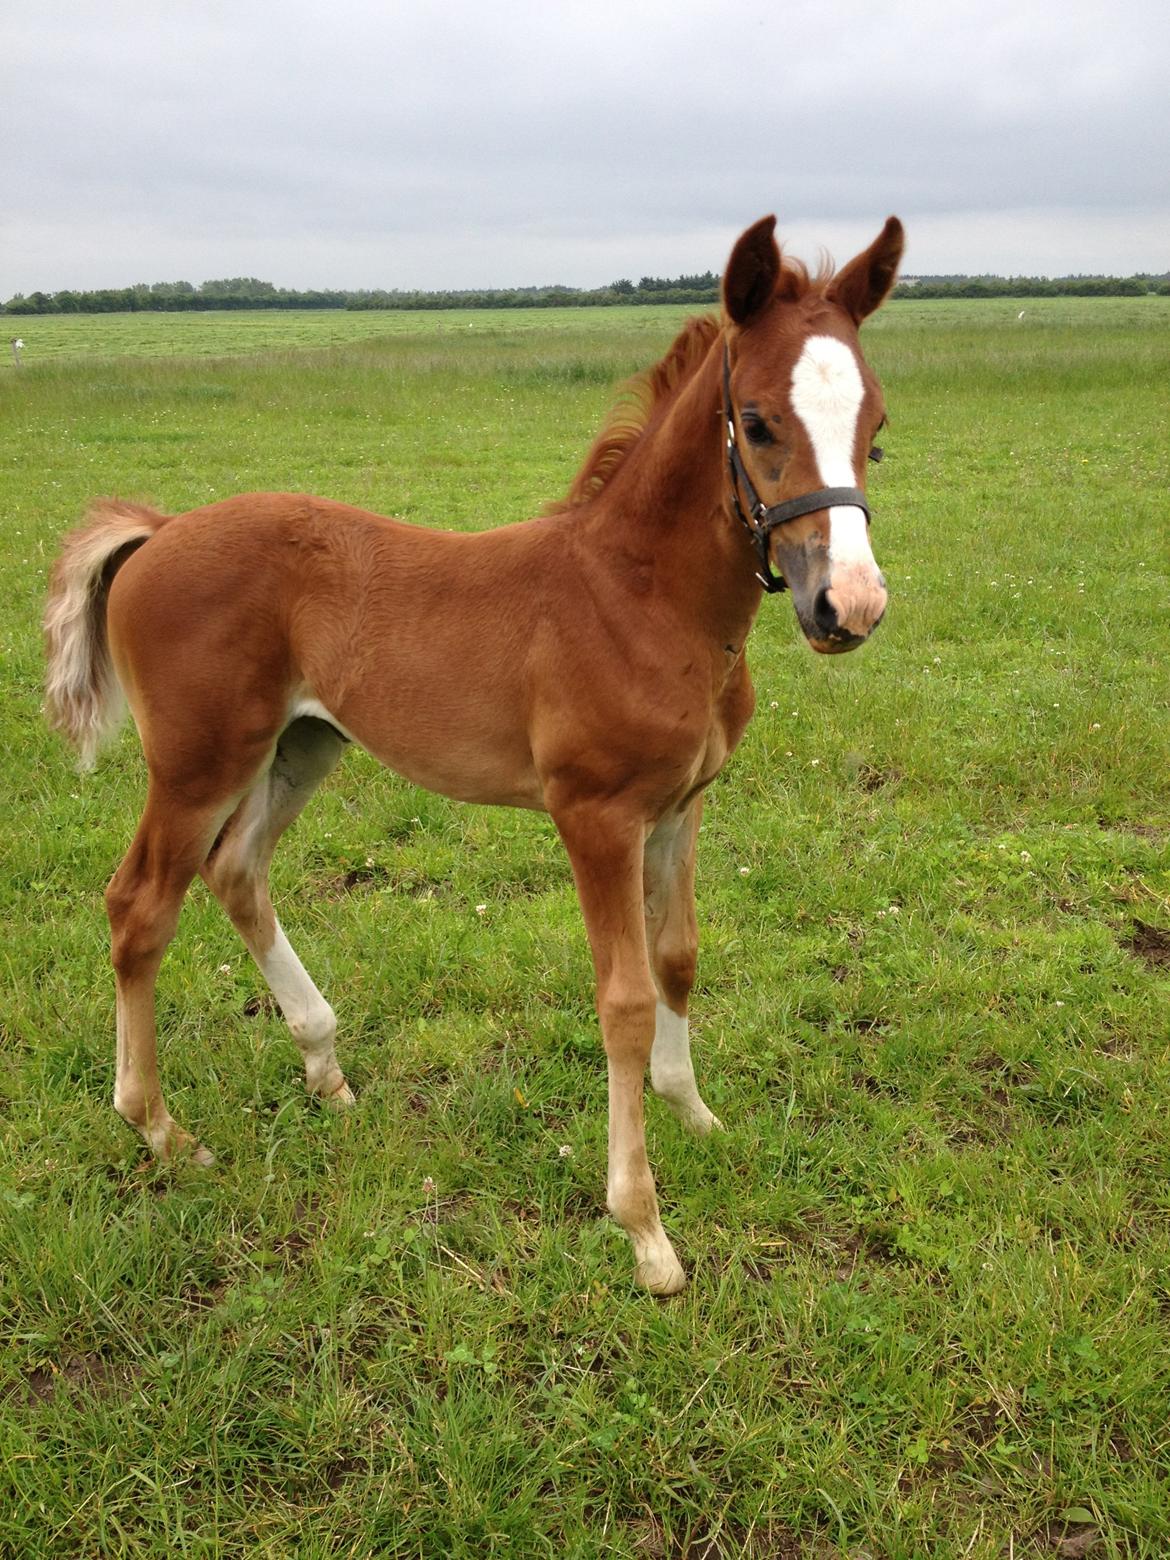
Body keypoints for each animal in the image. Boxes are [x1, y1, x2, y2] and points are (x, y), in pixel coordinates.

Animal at [45, 216, 904, 1291]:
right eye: (755, 422)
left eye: (877, 428)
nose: (849, 607)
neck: (639, 597)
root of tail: (159, 531)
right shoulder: (596, 816)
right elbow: (624, 999)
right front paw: (645, 1230)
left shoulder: (683, 804)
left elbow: (678, 958)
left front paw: (696, 1114)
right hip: (200, 762)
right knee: (139, 907)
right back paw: (162, 1131)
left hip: (304, 744)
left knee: (236, 869)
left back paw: (324, 1068)